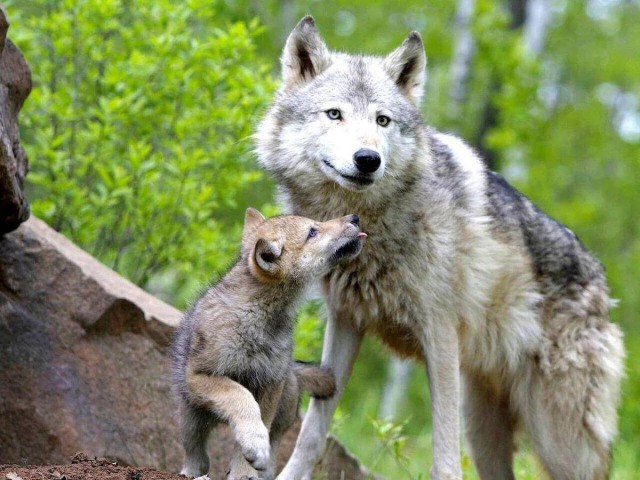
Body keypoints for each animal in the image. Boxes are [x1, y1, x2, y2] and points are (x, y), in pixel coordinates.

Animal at [172, 208, 368, 478]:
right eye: (312, 231)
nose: (354, 217)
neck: (258, 316)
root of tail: (293, 371)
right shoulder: (201, 375)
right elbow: (240, 396)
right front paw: (253, 446)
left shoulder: (270, 383)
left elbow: (258, 424)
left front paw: (245, 471)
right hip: (191, 417)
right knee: (197, 455)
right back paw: (192, 472)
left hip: (283, 408)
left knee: (273, 448)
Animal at [255, 15, 624, 480]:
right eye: (334, 114)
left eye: (383, 120)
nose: (367, 159)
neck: (370, 226)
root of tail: (601, 282)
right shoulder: (345, 322)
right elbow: (312, 433)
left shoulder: (440, 335)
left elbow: (444, 457)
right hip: (485, 428)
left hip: (560, 439)